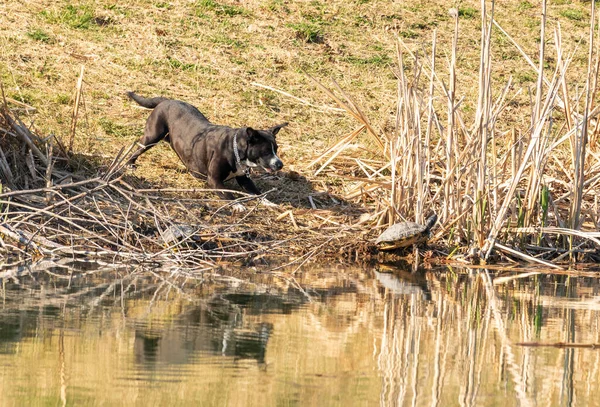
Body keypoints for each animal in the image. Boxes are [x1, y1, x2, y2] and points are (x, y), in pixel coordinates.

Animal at [126, 92, 286, 210]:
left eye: (276, 149)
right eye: (266, 151)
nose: (280, 164)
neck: (235, 148)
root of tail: (167, 101)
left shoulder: (244, 179)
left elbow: (258, 193)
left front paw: (269, 203)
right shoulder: (214, 180)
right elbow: (227, 194)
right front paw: (238, 205)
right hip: (152, 136)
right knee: (137, 148)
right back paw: (130, 163)